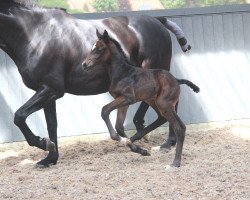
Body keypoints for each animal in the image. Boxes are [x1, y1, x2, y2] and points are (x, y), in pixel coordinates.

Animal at [83, 30, 200, 167]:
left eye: (99, 49)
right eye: (92, 48)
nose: (84, 64)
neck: (122, 73)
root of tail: (177, 80)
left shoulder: (128, 98)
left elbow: (105, 110)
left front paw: (122, 140)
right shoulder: (123, 102)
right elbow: (119, 126)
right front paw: (139, 149)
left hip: (163, 103)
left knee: (179, 128)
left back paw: (175, 163)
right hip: (154, 101)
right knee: (165, 120)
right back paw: (134, 139)